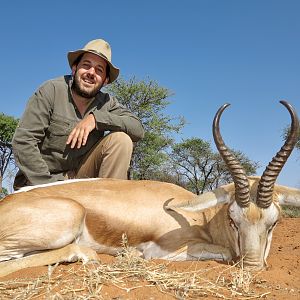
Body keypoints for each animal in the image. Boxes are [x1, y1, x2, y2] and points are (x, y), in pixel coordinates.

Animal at [0, 101, 298, 276]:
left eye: (274, 222)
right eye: (233, 220)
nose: (252, 267)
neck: (199, 218)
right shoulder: (162, 251)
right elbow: (224, 252)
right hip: (68, 217)